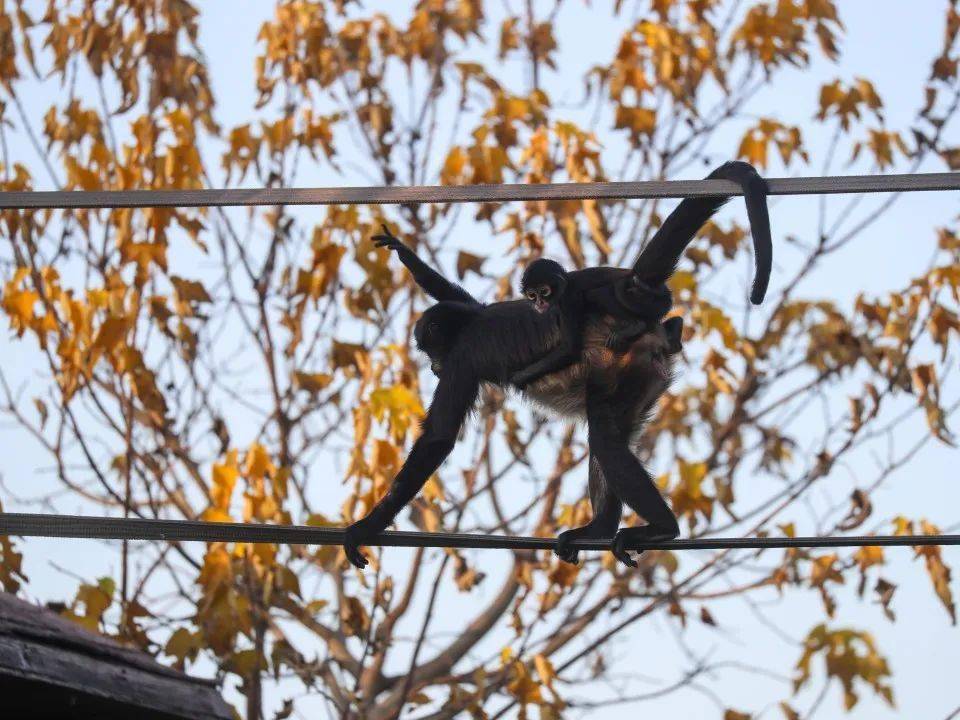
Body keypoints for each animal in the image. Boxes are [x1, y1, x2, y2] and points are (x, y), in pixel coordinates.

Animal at [344, 162, 772, 568]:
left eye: (433, 354)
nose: (433, 366)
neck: (467, 327)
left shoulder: (462, 358)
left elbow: (438, 439)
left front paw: (363, 528)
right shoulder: (473, 314)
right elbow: (465, 299)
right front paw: (404, 252)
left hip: (625, 364)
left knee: (605, 441)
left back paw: (661, 528)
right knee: (609, 433)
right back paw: (600, 528)